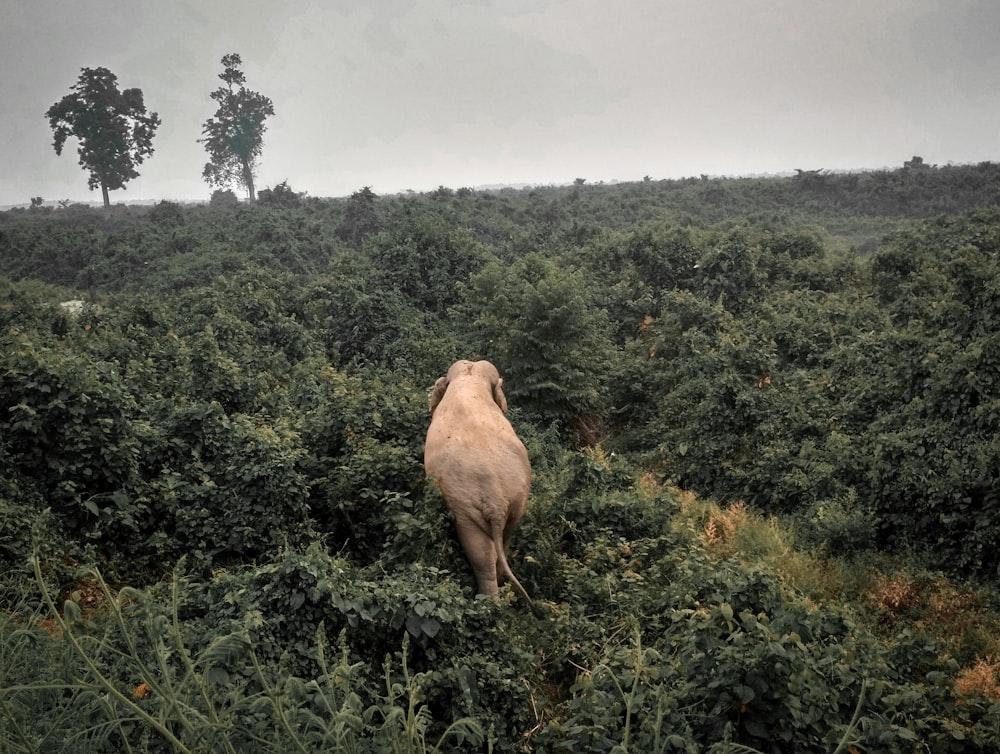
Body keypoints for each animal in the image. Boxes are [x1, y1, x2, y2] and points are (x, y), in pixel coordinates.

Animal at [426, 358, 544, 612]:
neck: (469, 378)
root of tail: (495, 500)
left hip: (465, 506)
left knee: (480, 553)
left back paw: (489, 606)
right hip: (516, 500)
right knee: (505, 539)